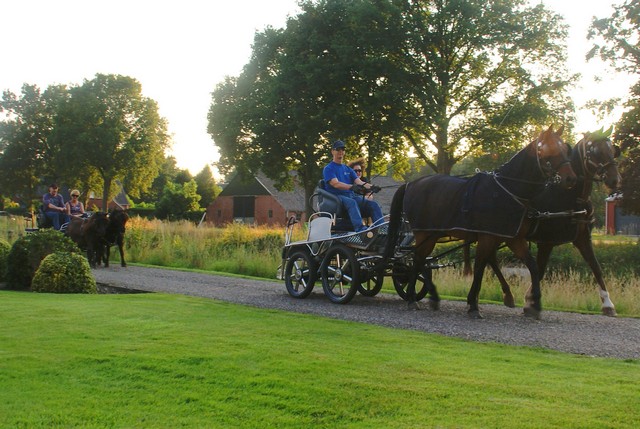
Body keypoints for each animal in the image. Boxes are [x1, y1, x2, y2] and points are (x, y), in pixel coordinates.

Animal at [381, 125, 576, 319]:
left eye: (566, 149)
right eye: (551, 149)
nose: (571, 179)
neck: (508, 190)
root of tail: (411, 184)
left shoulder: (513, 238)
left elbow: (532, 266)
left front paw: (534, 304)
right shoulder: (487, 237)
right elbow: (480, 268)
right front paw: (473, 305)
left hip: (433, 234)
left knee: (420, 261)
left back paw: (428, 296)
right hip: (424, 233)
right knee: (417, 260)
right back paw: (413, 298)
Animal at [471, 127, 621, 316]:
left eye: (612, 150)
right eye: (595, 151)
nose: (615, 180)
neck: (570, 197)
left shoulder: (583, 238)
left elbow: (596, 267)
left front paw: (608, 304)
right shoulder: (546, 241)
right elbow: (540, 269)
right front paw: (530, 301)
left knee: (489, 257)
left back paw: (505, 295)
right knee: (489, 258)